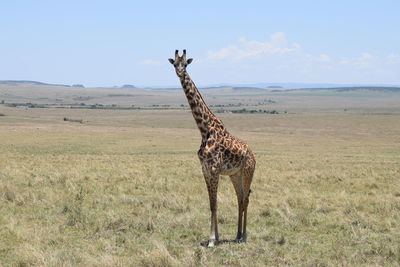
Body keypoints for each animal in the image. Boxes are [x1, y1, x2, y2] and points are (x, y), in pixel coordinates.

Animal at [168, 49, 256, 247]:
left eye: (186, 64)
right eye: (174, 64)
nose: (179, 73)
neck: (204, 129)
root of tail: (253, 155)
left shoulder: (214, 169)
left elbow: (215, 203)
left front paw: (211, 240)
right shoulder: (206, 170)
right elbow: (211, 203)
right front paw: (217, 237)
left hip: (248, 172)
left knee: (246, 199)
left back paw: (245, 236)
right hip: (235, 174)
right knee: (240, 199)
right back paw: (237, 235)